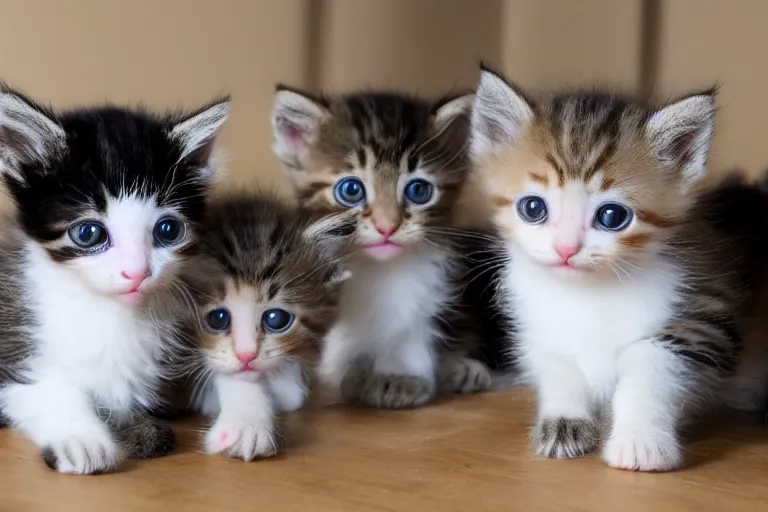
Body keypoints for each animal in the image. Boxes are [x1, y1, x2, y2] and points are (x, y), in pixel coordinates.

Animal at [0, 85, 230, 476]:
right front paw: (82, 439)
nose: (137, 272)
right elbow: (43, 387)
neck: (106, 312)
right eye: (88, 233)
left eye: (168, 229)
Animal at [468, 67, 768, 472]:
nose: (566, 249)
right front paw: (564, 418)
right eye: (533, 208)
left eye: (612, 216)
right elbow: (557, 364)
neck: (589, 293)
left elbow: (650, 359)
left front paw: (642, 441)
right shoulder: (535, 323)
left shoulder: (706, 311)